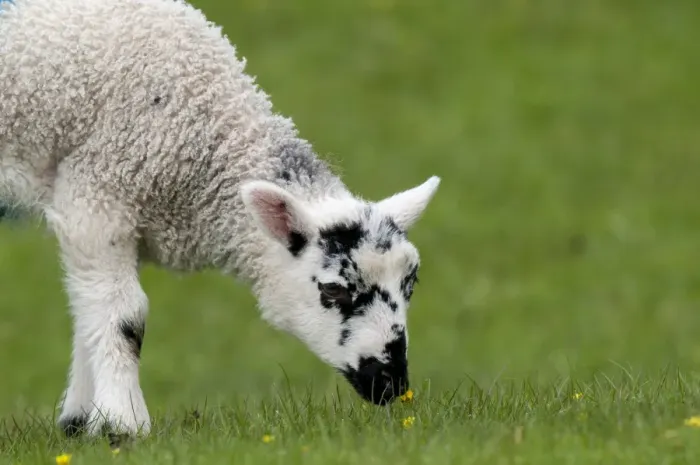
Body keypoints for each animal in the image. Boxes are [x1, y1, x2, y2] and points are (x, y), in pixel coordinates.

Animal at [0, 0, 441, 437]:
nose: (392, 384)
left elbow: (88, 312)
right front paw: (122, 424)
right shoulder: (96, 199)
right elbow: (125, 316)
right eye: (334, 291)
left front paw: (79, 421)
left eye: (411, 284)